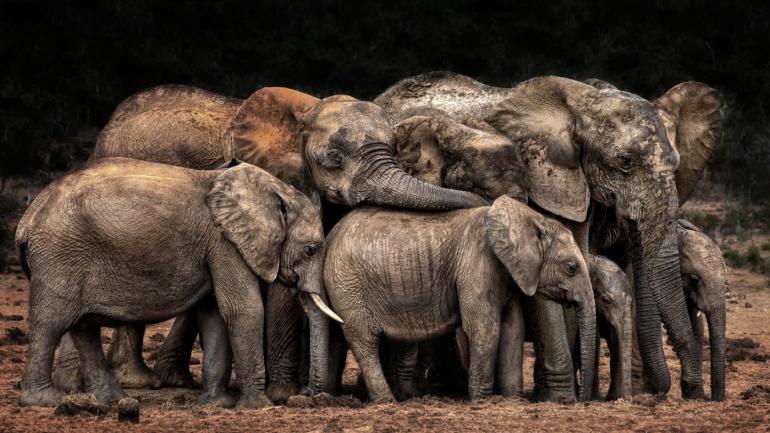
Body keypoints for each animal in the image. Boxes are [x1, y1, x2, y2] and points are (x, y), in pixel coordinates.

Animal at [14, 157, 340, 406]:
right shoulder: (224, 242)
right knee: (51, 323)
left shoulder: (215, 247)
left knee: (84, 328)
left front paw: (217, 405)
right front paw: (260, 407)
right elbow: (242, 310)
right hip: (59, 256)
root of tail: (26, 220)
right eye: (311, 249)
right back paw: (45, 400)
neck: (274, 190)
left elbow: (214, 315)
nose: (308, 395)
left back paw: (113, 400)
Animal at [57, 83, 484, 402]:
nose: (482, 202)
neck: (308, 111)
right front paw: (283, 395)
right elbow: (281, 283)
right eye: (332, 159)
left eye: (394, 149)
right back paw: (132, 383)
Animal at [320, 196, 596, 402]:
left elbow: (513, 328)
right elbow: (485, 329)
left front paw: (512, 400)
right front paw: (482, 401)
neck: (531, 219)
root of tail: (331, 233)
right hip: (348, 284)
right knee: (364, 340)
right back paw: (386, 401)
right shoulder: (478, 263)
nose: (582, 400)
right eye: (571, 268)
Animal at [376, 71, 724, 398]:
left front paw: (566, 396)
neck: (584, 103)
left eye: (677, 166)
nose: (692, 392)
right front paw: (563, 397)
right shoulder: (545, 179)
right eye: (625, 162)